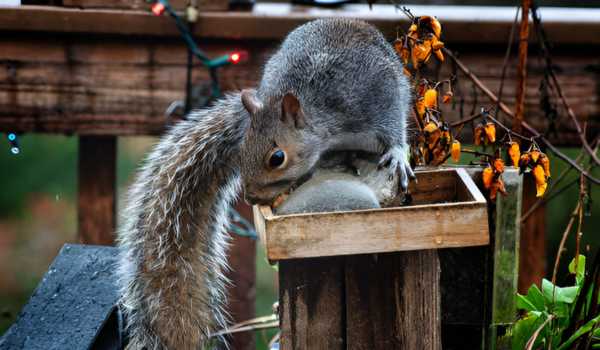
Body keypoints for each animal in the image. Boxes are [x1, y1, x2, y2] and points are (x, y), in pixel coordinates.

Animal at [119, 17, 414, 348]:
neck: (324, 121)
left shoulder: (378, 100)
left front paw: (398, 155)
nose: (250, 198)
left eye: (277, 158)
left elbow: (394, 131)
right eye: (241, 149)